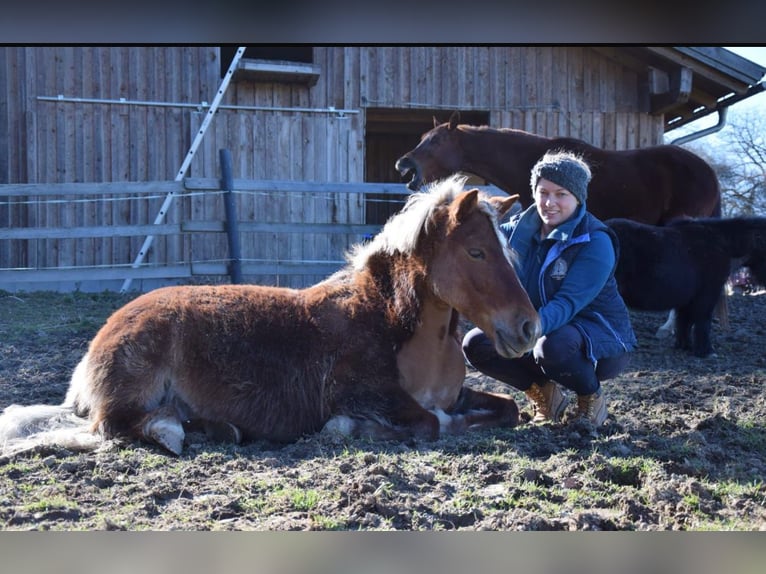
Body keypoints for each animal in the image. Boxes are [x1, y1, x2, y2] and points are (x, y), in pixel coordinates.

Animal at [0, 178, 544, 456]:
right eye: (476, 252)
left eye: (504, 248)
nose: (527, 327)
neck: (391, 324)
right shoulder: (370, 397)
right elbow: (429, 423)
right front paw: (344, 429)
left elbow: (507, 410)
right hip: (132, 390)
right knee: (115, 426)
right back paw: (175, 431)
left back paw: (218, 427)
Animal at [608, 217, 766, 358]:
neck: (723, 245)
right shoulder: (706, 296)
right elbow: (702, 321)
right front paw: (706, 351)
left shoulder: (687, 300)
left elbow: (684, 322)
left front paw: (684, 346)